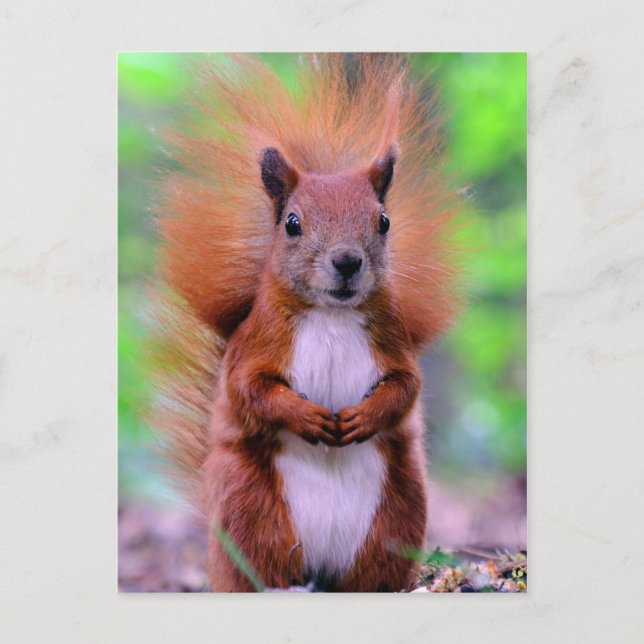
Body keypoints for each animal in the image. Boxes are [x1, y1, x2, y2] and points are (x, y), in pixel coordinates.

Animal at [153, 53, 461, 592]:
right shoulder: (256, 343)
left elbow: (407, 386)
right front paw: (306, 417)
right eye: (292, 224)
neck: (331, 315)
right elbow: (249, 390)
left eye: (383, 221)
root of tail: (323, 569)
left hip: (397, 513)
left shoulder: (392, 339)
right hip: (252, 509)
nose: (346, 262)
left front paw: (363, 417)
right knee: (261, 567)